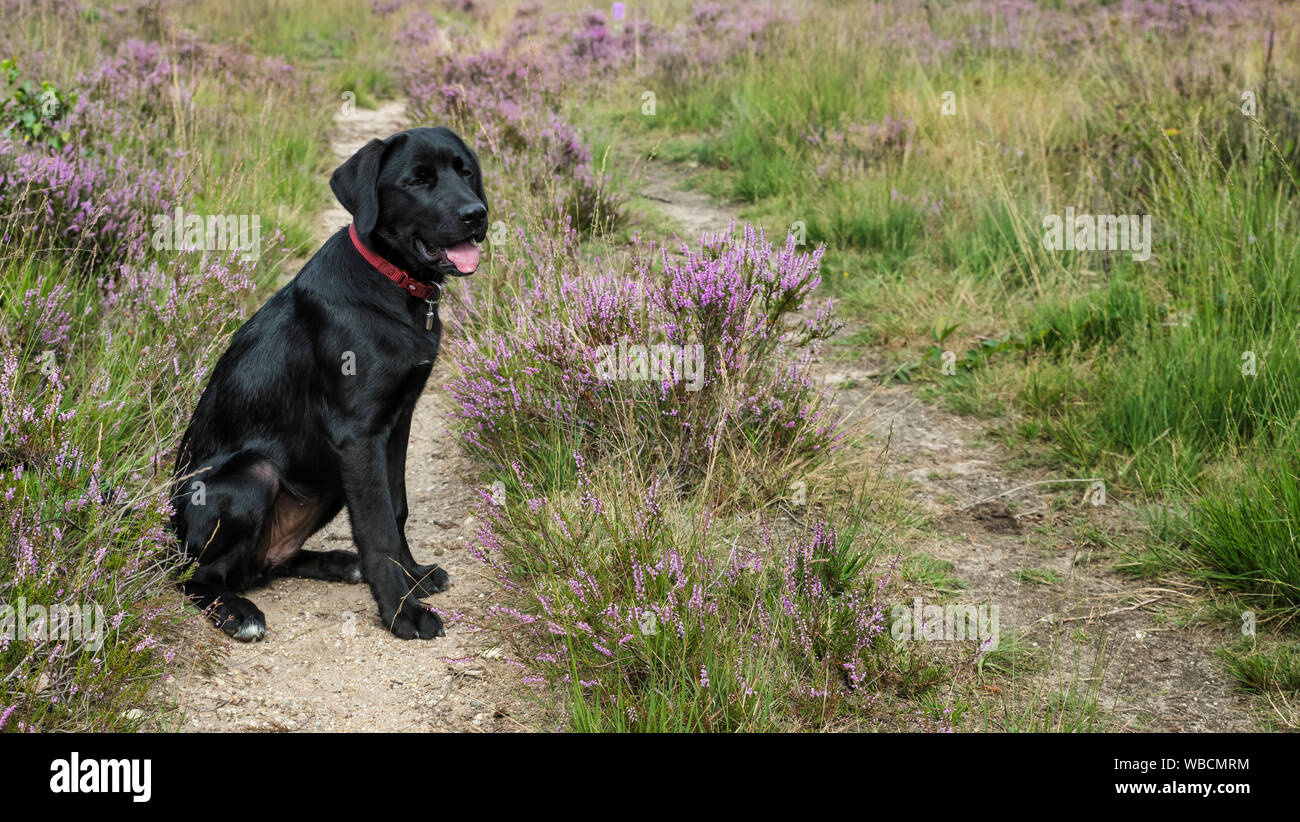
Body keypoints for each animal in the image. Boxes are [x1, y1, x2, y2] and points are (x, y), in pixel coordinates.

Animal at [167, 126, 483, 642]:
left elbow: (396, 508)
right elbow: (377, 527)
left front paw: (413, 576)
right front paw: (403, 610)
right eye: (417, 181)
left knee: (265, 566)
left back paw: (341, 563)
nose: (476, 214)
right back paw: (236, 611)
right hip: (255, 475)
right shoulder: (357, 434)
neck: (393, 285)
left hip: (329, 477)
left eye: (466, 172)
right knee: (198, 577)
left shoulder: (397, 423)